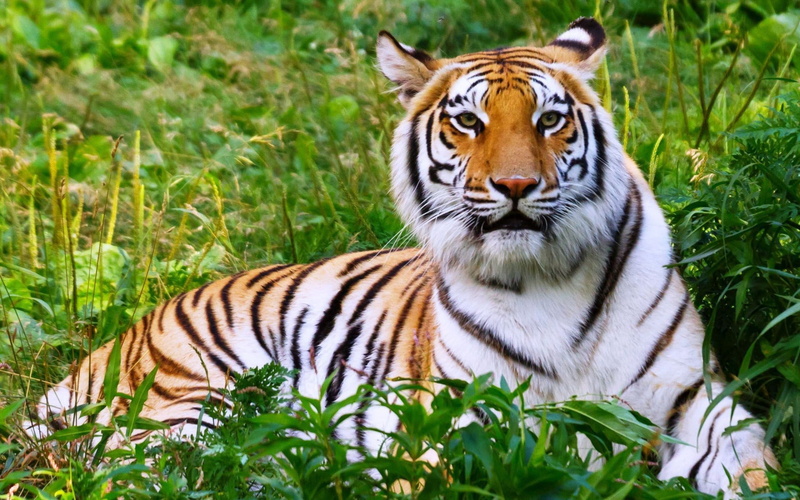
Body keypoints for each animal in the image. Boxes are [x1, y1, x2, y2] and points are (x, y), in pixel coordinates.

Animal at [27, 18, 776, 497]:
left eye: (549, 120)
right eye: (468, 121)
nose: (515, 186)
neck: (549, 277)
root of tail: (122, 336)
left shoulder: (704, 408)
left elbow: (756, 472)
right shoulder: (464, 426)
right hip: (191, 410)